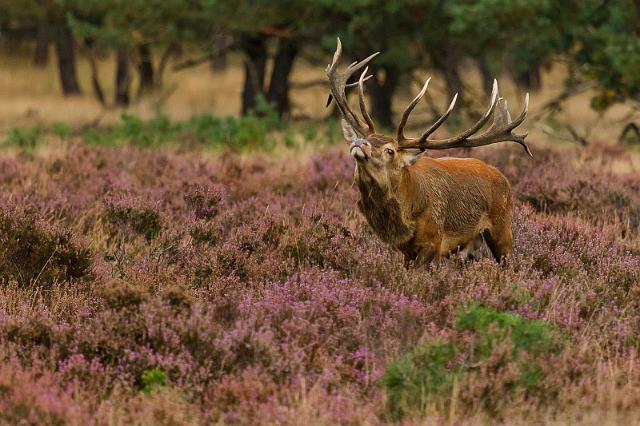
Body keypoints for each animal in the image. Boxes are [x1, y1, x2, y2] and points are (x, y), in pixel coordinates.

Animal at [324, 39, 528, 266]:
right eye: (367, 138)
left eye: (390, 151)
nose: (360, 143)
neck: (405, 220)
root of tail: (503, 178)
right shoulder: (406, 251)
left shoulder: (434, 241)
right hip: (471, 244)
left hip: (502, 226)